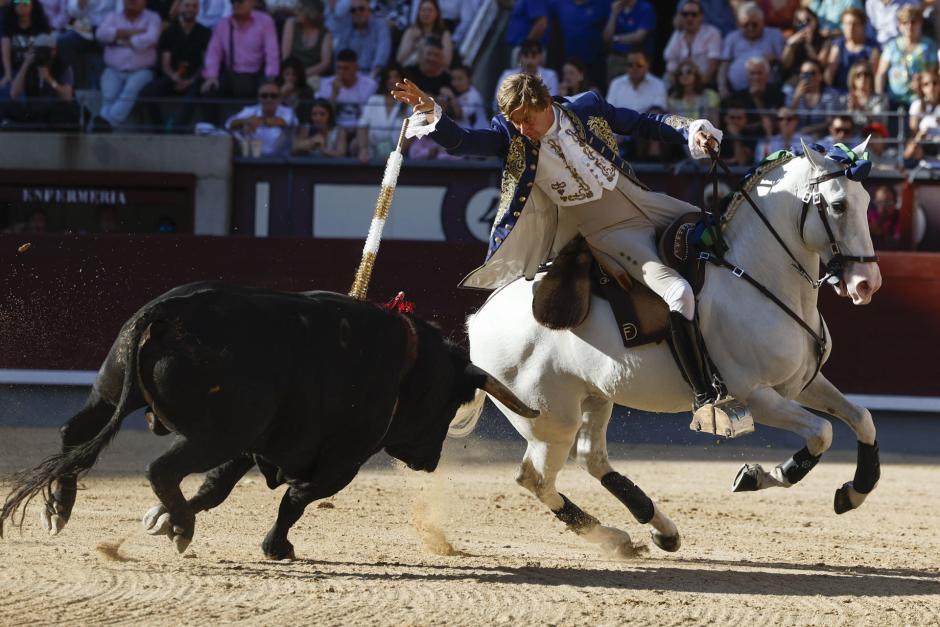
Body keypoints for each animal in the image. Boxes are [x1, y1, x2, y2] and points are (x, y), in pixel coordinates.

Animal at [0, 284, 536, 560]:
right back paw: (182, 530)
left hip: (112, 391)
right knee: (160, 469)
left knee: (74, 434)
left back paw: (61, 509)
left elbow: (216, 488)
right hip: (215, 432)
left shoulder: (255, 443)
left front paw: (161, 520)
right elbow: (295, 501)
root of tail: (170, 310)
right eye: (448, 405)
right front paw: (276, 547)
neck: (406, 367)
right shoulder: (341, 460)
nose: (430, 461)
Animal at [452, 141, 884, 556]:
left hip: (595, 396)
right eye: (838, 205)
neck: (755, 278)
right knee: (536, 478)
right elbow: (823, 432)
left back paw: (660, 529)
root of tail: (480, 318)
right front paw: (760, 475)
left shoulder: (803, 383)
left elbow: (861, 418)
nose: (866, 284)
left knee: (591, 458)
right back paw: (614, 537)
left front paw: (854, 491)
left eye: (867, 201)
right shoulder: (756, 396)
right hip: (550, 420)